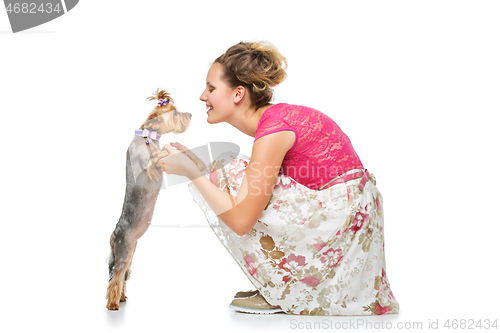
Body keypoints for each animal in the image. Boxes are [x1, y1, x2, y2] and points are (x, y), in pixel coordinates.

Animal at [105, 89, 191, 310]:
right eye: (175, 113)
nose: (190, 114)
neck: (148, 135)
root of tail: (113, 234)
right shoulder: (149, 165)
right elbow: (158, 156)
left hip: (131, 252)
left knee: (123, 276)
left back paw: (122, 297)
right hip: (123, 250)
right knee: (116, 277)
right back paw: (113, 304)